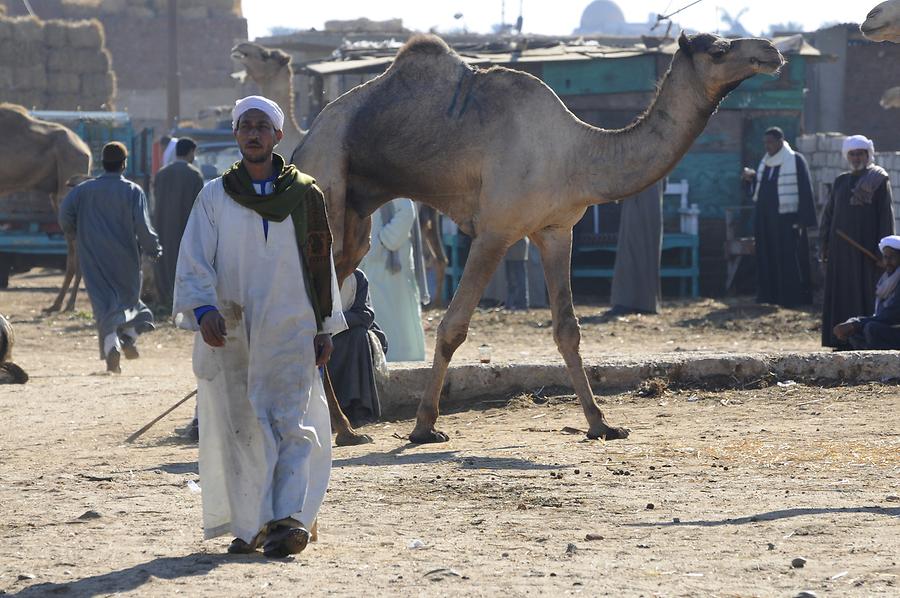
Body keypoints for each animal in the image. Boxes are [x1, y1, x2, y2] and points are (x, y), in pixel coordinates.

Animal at [298, 32, 788, 446]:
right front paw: (423, 427)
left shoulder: (555, 230)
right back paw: (337, 430)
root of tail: (305, 141)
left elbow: (568, 329)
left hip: (355, 222)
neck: (578, 153)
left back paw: (346, 430)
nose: (771, 50)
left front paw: (601, 423)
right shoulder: (496, 230)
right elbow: (453, 326)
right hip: (330, 185)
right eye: (719, 50)